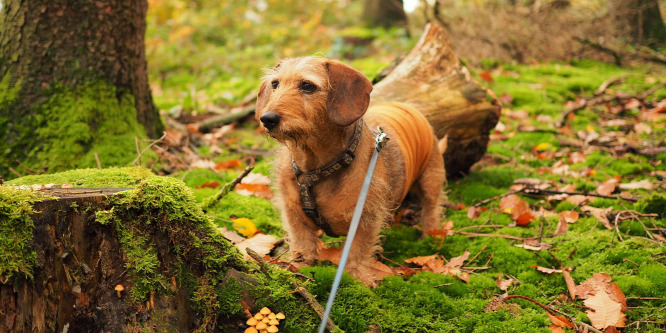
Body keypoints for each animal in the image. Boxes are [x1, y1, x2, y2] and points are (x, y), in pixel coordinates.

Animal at [254, 57, 446, 286]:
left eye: (307, 86)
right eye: (275, 84)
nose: (267, 119)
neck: (316, 169)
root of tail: (406, 105)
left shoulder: (365, 218)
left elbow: (358, 250)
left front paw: (359, 279)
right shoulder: (294, 213)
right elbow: (302, 243)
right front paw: (298, 267)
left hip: (430, 178)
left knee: (431, 209)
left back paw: (431, 238)